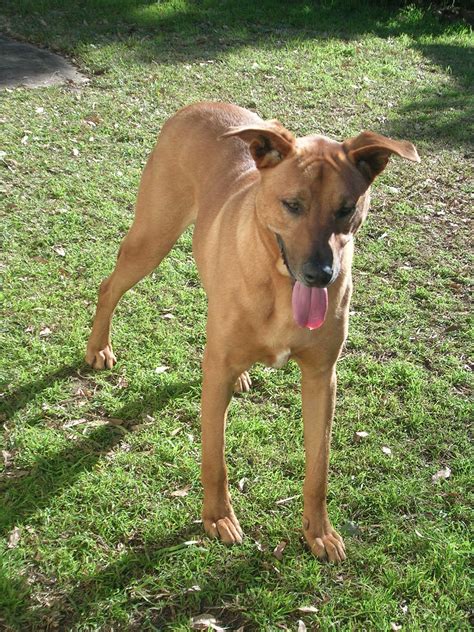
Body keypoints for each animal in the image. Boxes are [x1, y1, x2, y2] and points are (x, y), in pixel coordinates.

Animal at [86, 103, 418, 564]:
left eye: (346, 207)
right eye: (292, 205)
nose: (321, 275)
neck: (280, 285)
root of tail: (195, 104)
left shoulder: (322, 377)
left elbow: (319, 469)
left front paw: (319, 532)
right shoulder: (217, 374)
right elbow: (215, 459)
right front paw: (217, 518)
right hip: (152, 238)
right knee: (109, 287)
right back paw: (98, 347)